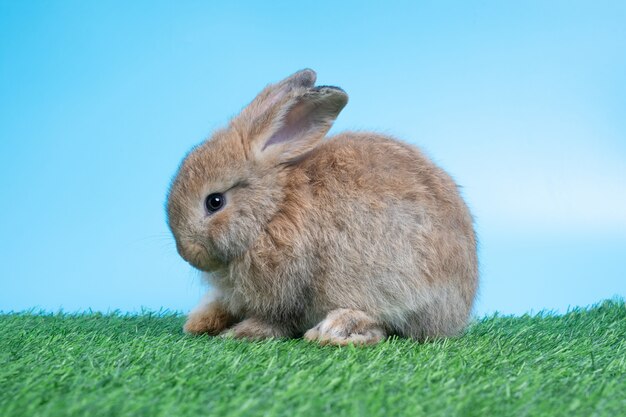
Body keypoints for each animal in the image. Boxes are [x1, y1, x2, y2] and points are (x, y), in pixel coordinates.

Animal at [166, 69, 478, 344]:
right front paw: (200, 322)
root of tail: (459, 308)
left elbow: (277, 321)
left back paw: (335, 330)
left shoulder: (290, 289)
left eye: (214, 202)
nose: (186, 253)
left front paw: (241, 332)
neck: (271, 211)